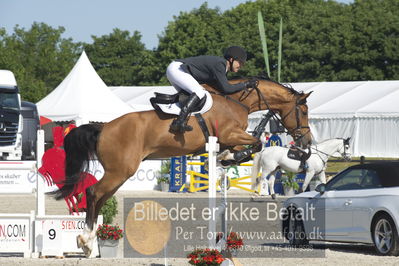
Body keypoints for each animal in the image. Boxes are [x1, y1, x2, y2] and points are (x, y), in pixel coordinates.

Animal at [51, 78, 312, 256]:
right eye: (304, 110)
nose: (306, 142)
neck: (237, 100)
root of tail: (103, 127)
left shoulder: (230, 137)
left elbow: (252, 144)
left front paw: (228, 157)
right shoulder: (229, 133)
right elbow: (256, 143)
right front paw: (231, 157)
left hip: (119, 173)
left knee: (100, 198)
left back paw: (90, 242)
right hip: (120, 171)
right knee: (93, 192)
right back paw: (85, 240)